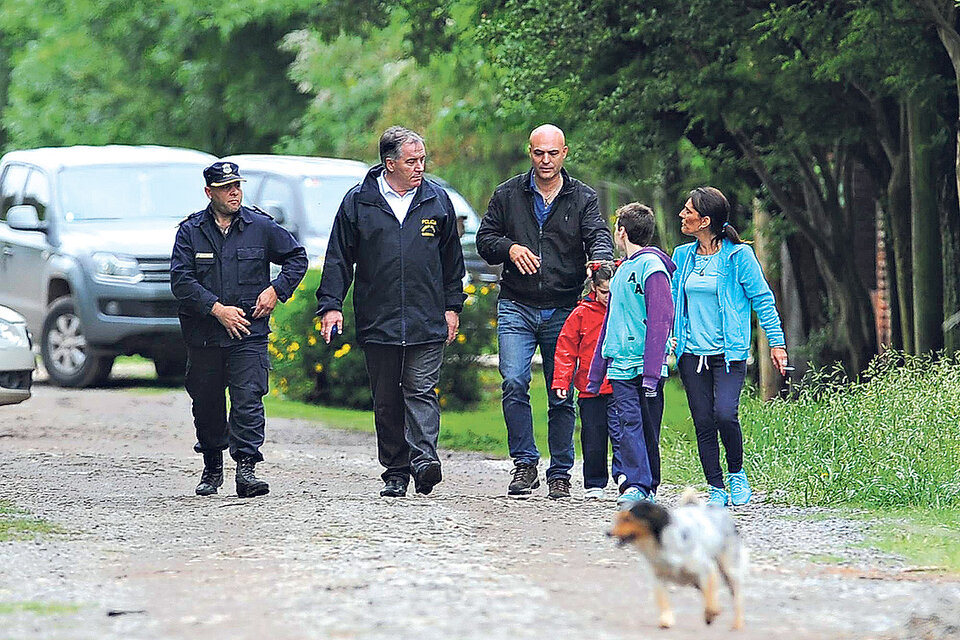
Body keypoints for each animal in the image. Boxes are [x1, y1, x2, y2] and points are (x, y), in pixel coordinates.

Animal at [608, 490, 752, 632]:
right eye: (618, 519)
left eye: (628, 519)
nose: (607, 533)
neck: (659, 545)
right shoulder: (657, 577)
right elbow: (663, 599)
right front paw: (666, 620)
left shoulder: (706, 568)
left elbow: (710, 597)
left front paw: (711, 613)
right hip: (697, 581)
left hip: (730, 569)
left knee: (737, 597)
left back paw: (736, 624)